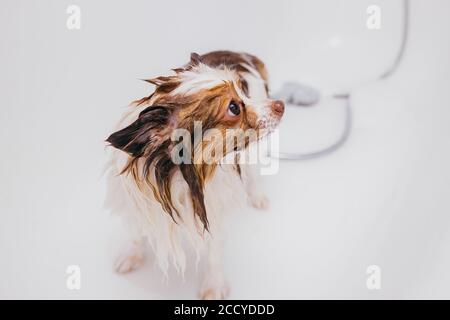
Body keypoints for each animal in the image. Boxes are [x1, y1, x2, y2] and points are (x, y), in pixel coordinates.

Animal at [105, 50, 284, 298]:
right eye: (234, 108)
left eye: (243, 91)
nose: (281, 105)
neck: (177, 178)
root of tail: (240, 54)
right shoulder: (137, 203)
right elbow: (136, 233)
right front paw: (131, 254)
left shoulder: (214, 210)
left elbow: (214, 254)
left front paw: (214, 285)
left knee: (253, 173)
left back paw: (257, 196)